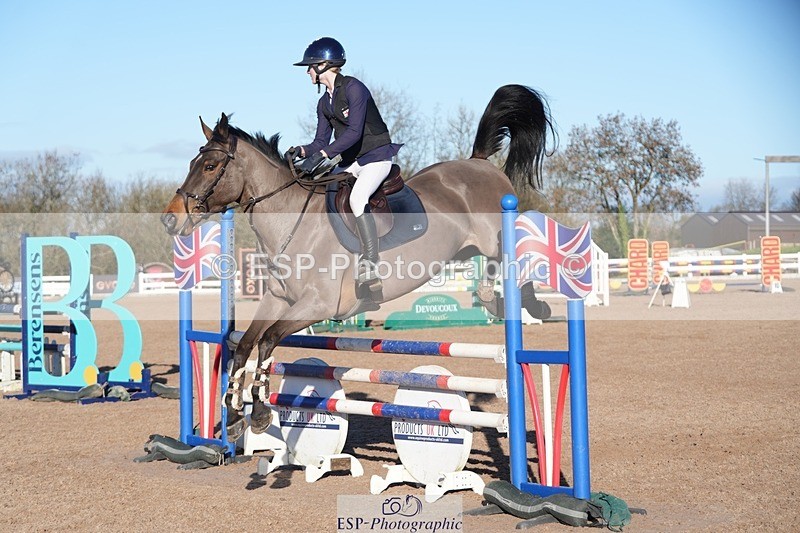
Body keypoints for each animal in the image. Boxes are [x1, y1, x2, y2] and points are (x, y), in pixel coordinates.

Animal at [161, 84, 554, 440]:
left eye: (210, 165)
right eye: (193, 163)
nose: (170, 220)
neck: (293, 223)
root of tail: (479, 162)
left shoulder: (317, 305)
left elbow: (268, 341)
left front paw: (257, 412)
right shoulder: (278, 299)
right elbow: (244, 345)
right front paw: (232, 412)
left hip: (495, 234)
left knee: (517, 257)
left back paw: (535, 305)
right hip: (469, 249)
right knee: (493, 268)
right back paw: (494, 299)